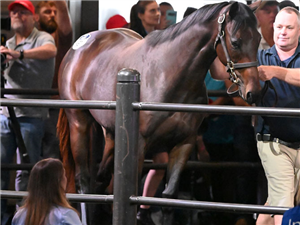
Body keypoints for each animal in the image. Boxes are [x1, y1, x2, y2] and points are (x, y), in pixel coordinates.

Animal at [57, 0, 262, 223]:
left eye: (258, 39)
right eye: (235, 42)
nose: (253, 91)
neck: (169, 74)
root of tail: (79, 46)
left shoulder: (184, 144)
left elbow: (168, 198)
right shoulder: (139, 145)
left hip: (111, 133)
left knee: (102, 177)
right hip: (79, 122)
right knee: (83, 181)